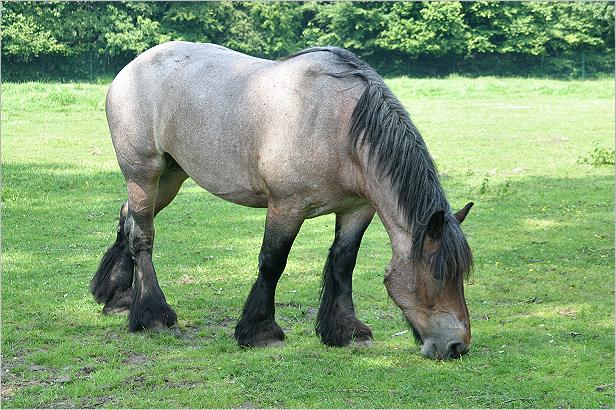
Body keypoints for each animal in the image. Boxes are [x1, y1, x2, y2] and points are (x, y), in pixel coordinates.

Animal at [92, 41, 476, 360]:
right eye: (437, 276)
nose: (457, 346)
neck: (340, 126)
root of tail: (131, 68)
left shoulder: (357, 209)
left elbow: (343, 263)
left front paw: (346, 332)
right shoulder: (286, 207)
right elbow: (272, 263)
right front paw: (261, 332)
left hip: (170, 177)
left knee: (128, 218)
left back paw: (119, 298)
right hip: (143, 174)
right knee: (143, 236)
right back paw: (153, 315)